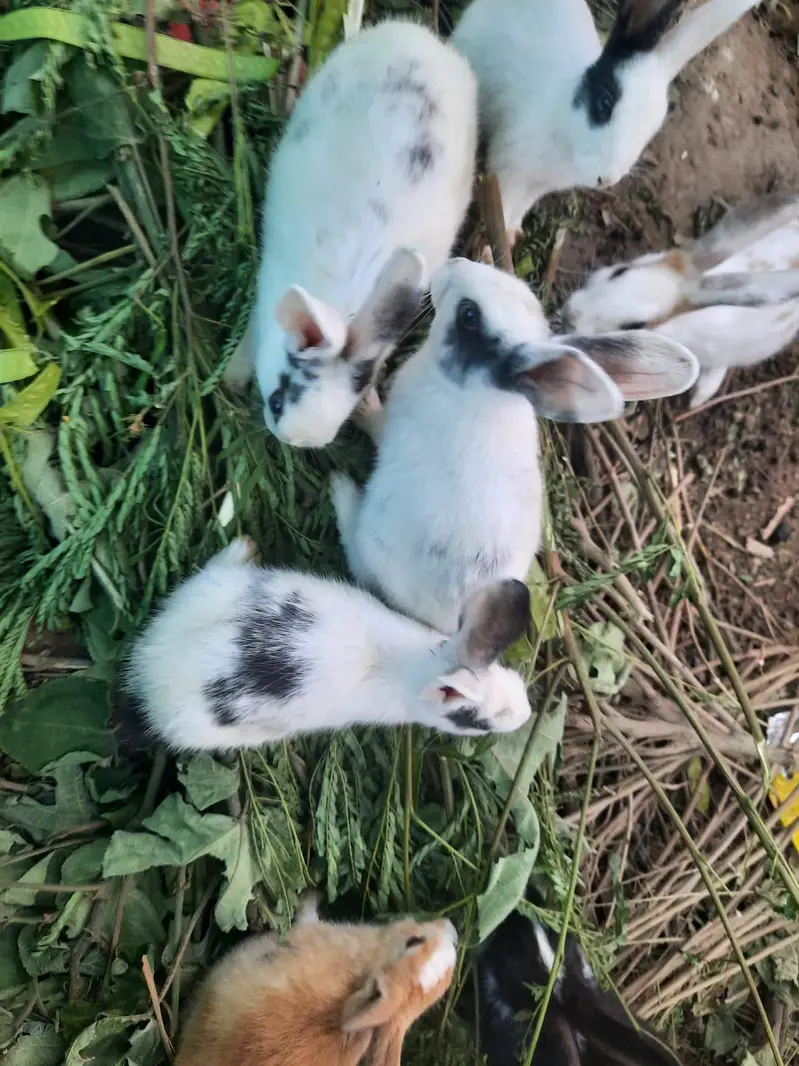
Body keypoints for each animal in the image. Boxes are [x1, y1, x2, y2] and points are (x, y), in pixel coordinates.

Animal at [330, 257, 698, 635]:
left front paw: (364, 404)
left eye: (469, 315)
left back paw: (341, 490)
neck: (477, 385)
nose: (455, 262)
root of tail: (450, 621)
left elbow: (375, 424)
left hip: (372, 544)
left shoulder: (390, 421)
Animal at [450, 0, 760, 243]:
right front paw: (500, 238)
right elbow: (506, 202)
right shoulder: (510, 169)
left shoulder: (537, 186)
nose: (606, 179)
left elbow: (521, 206)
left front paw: (512, 233)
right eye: (606, 103)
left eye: (652, 130)